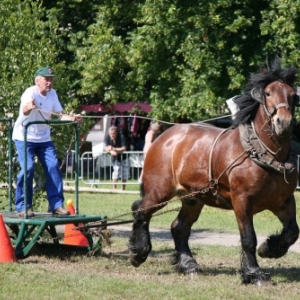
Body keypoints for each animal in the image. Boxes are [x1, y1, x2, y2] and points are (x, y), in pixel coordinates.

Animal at [128, 59, 300, 286]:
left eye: (292, 94)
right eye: (268, 93)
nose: (284, 122)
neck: (261, 152)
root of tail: (165, 136)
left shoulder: (284, 200)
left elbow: (292, 232)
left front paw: (268, 249)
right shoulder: (242, 200)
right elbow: (248, 238)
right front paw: (254, 273)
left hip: (193, 198)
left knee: (179, 227)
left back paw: (189, 265)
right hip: (160, 191)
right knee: (141, 211)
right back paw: (138, 253)